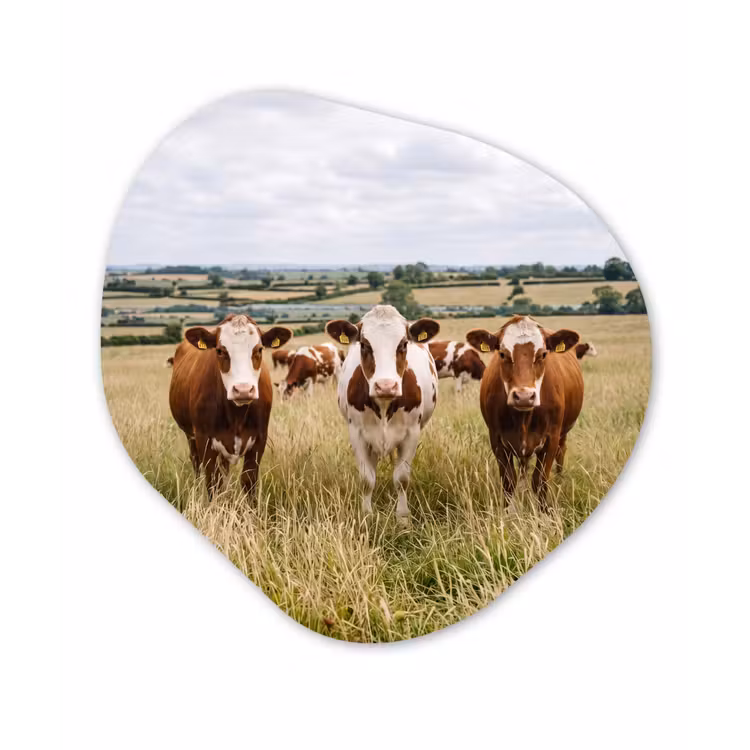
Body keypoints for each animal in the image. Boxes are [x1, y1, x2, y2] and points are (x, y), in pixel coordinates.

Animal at [169, 314, 293, 498]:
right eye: (220, 350)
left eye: (259, 349)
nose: (243, 390)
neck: (236, 416)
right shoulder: (204, 439)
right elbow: (213, 483)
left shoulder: (259, 439)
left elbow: (248, 482)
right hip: (190, 436)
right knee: (196, 463)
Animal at [326, 305, 440, 524]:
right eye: (364, 345)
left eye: (403, 344)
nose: (386, 386)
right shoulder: (357, 433)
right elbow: (366, 478)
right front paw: (367, 515)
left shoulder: (412, 433)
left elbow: (402, 478)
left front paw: (403, 518)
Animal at [466, 315, 583, 510]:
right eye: (502, 354)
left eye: (543, 354)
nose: (524, 396)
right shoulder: (497, 440)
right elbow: (508, 481)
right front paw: (508, 511)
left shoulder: (551, 438)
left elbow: (540, 481)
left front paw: (543, 512)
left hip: (563, 433)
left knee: (561, 452)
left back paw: (560, 479)